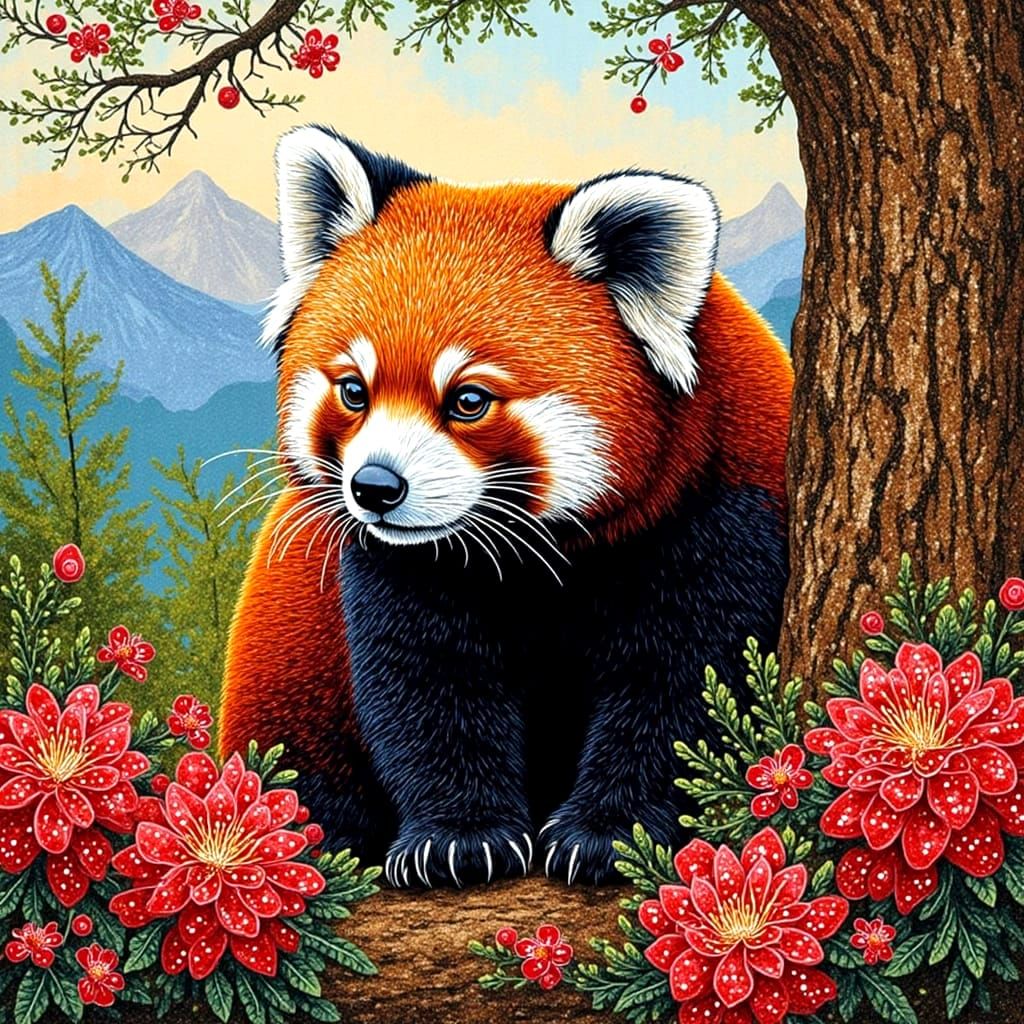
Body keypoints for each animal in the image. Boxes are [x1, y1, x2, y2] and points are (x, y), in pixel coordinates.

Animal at [220, 125, 793, 887]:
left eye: (468, 400)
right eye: (353, 391)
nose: (375, 487)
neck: (538, 554)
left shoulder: (722, 515)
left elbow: (686, 684)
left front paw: (609, 835)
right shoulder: (396, 570)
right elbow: (426, 685)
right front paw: (459, 840)